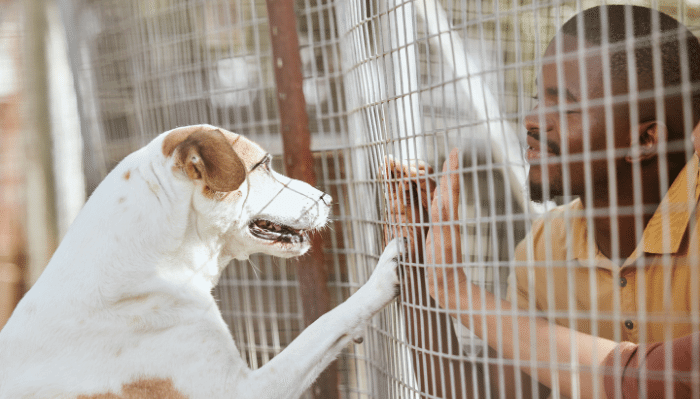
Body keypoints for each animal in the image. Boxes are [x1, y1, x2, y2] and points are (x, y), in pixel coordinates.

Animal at [0, 124, 404, 396]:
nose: (328, 198)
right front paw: (379, 280)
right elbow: (323, 325)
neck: (152, 265)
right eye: (264, 164)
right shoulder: (245, 390)